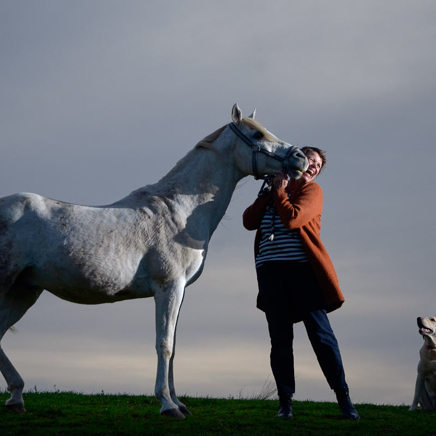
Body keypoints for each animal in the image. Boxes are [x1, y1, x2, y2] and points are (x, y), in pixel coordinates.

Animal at [0, 104, 308, 418]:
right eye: (257, 134)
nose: (301, 157)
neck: (179, 212)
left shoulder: (179, 291)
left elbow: (173, 344)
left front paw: (179, 402)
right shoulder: (168, 288)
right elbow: (165, 345)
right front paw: (168, 405)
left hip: (24, 292)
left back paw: (16, 397)